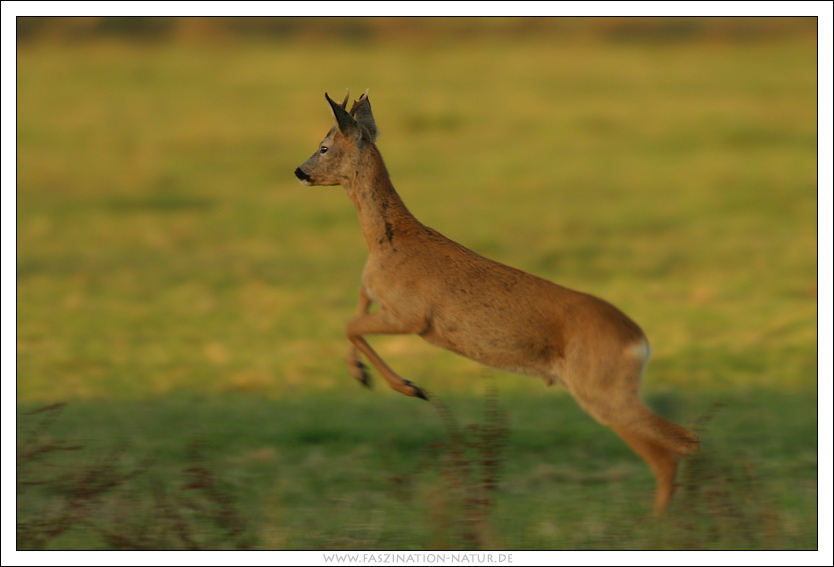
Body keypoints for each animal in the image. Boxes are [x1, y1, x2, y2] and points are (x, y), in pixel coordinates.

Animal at [292, 87, 696, 516]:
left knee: (674, 448)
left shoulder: (413, 315)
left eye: (323, 146)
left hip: (602, 388)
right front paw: (361, 374)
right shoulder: (377, 296)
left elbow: (349, 324)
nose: (299, 171)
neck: (387, 240)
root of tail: (640, 341)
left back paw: (660, 521)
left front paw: (409, 387)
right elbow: (356, 309)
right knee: (679, 444)